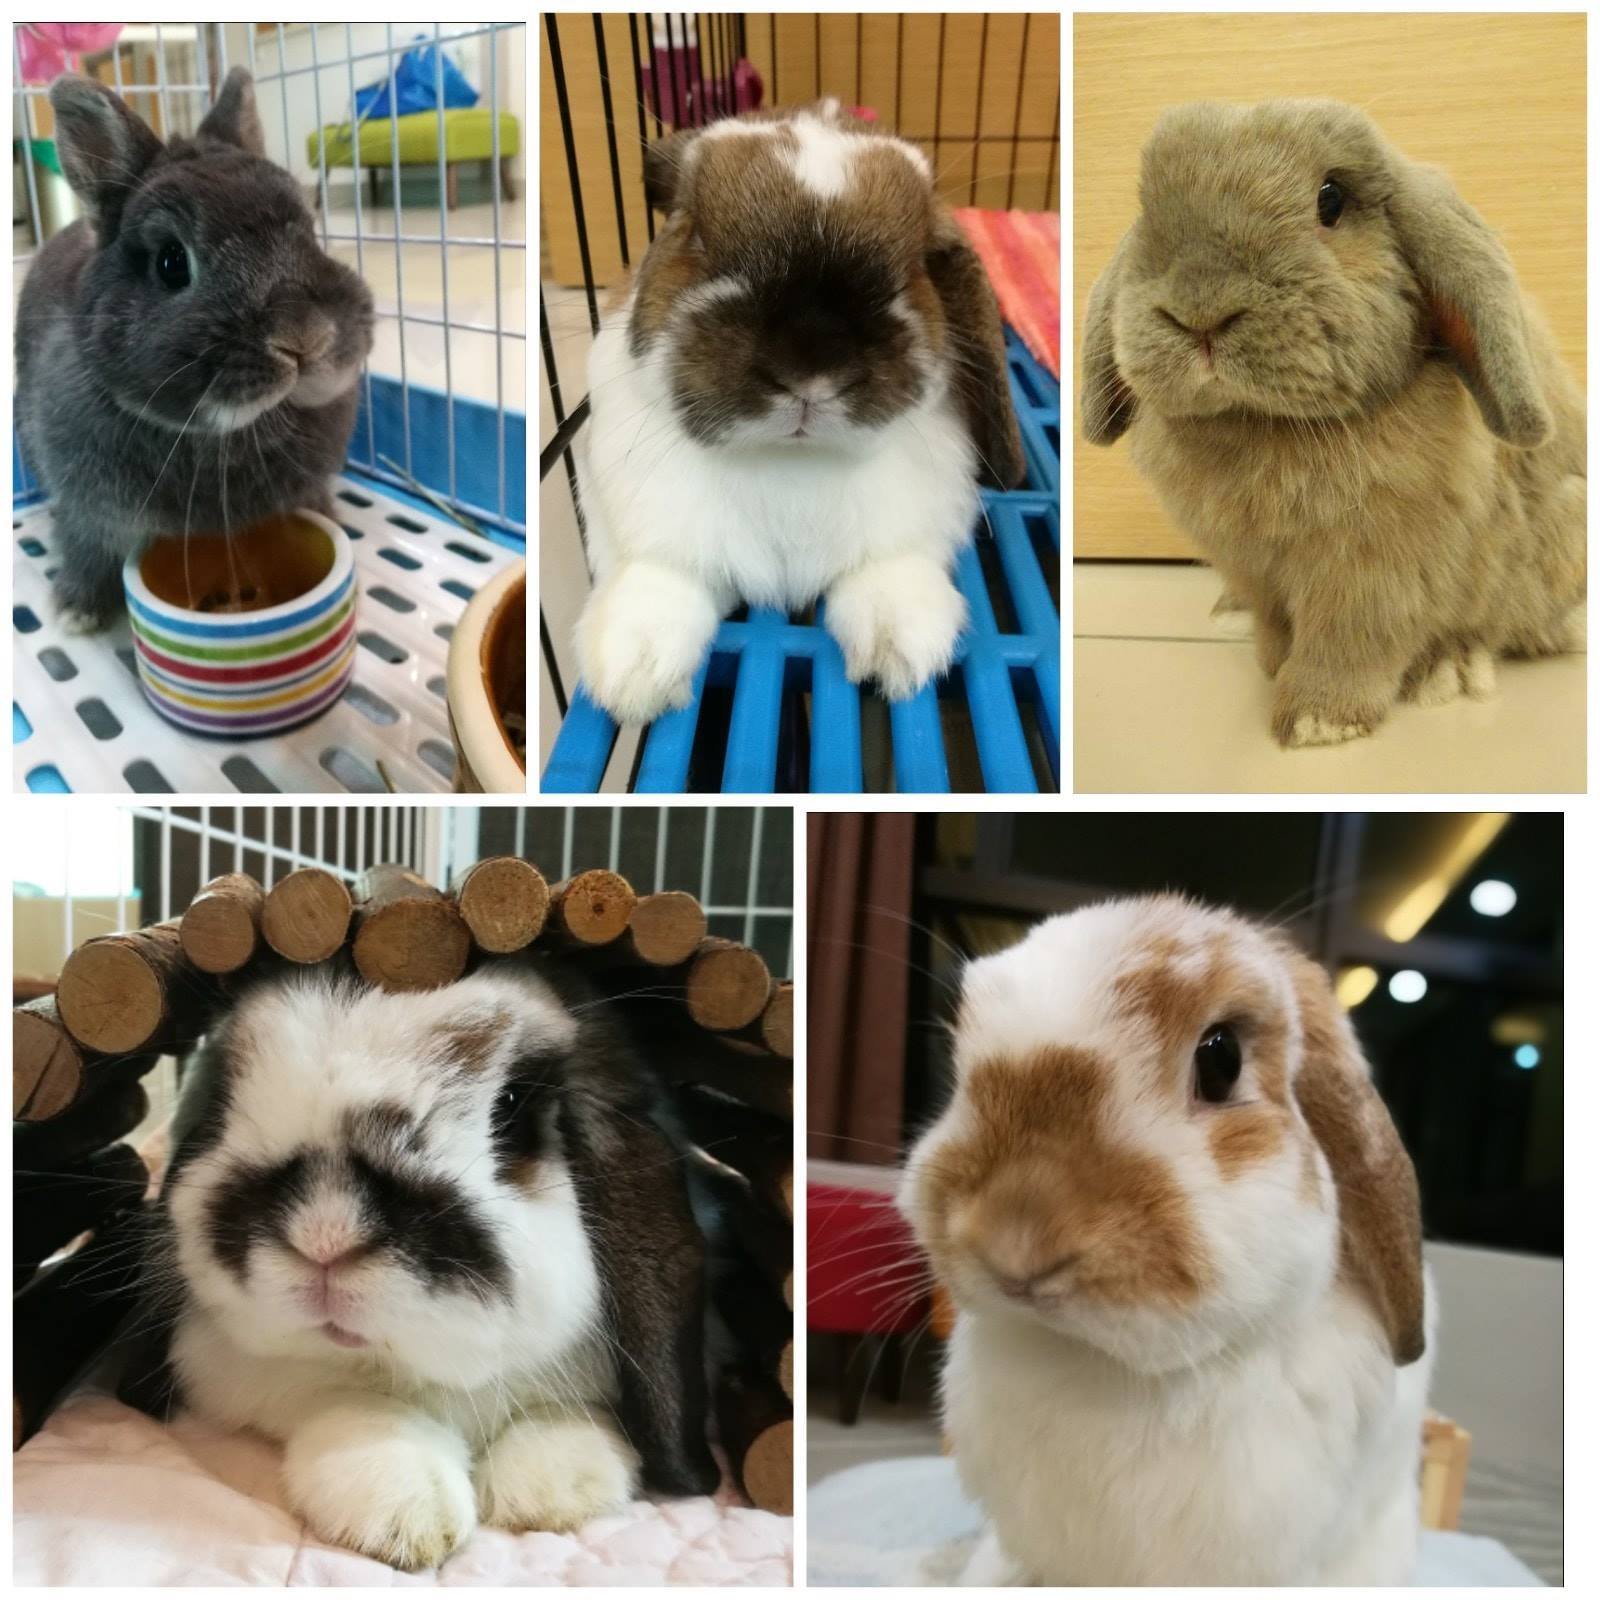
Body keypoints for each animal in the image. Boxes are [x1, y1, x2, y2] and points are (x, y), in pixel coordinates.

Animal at [14, 69, 373, 633]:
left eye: (312, 234)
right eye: (171, 262)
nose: (305, 337)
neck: (228, 436)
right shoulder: (85, 510)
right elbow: (86, 549)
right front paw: (77, 612)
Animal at [115, 957, 719, 1571]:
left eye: (512, 1106)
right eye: (226, 1098)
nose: (323, 1238)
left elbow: (563, 1411)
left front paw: (550, 1493)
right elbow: (356, 1406)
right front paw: (405, 1516)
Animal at [572, 98, 1026, 724]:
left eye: (916, 264)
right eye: (693, 232)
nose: (811, 361)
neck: (790, 463)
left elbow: (889, 572)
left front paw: (900, 651)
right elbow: (662, 581)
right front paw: (635, 676)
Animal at [1082, 100, 1585, 748]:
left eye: (1331, 199)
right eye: (1145, 209)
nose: (1199, 313)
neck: (1265, 422)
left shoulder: (1376, 571)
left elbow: (1349, 643)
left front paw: (1316, 721)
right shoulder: (1250, 565)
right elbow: (1275, 622)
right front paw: (1272, 661)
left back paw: (1448, 669)